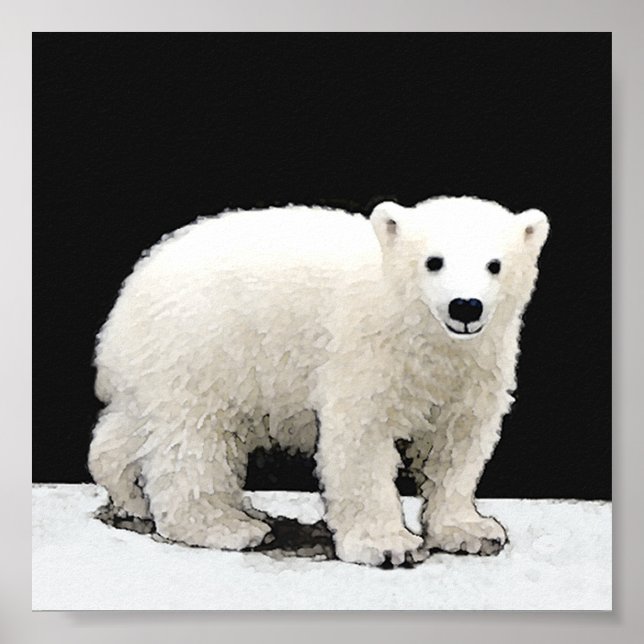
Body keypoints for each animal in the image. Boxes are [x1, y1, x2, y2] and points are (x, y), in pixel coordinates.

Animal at [88, 196, 549, 566]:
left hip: (160, 366)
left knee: (131, 430)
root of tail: (128, 297)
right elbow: (361, 439)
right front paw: (387, 545)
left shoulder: (476, 366)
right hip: (203, 347)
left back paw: (133, 496)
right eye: (433, 261)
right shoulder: (366, 349)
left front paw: (473, 531)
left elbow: (457, 444)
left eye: (494, 264)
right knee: (194, 441)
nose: (465, 306)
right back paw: (227, 525)